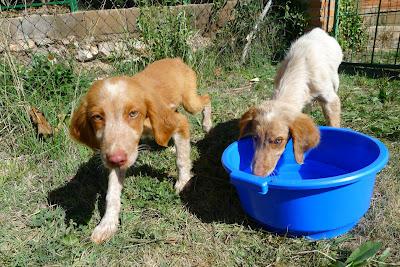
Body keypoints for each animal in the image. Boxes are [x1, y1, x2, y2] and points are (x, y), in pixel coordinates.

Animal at [70, 57, 212, 244]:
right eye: (97, 117)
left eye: (133, 113)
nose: (115, 159)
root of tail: (175, 59)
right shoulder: (117, 152)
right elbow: (112, 193)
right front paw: (107, 224)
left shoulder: (179, 122)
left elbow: (182, 160)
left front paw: (183, 182)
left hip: (190, 101)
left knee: (206, 98)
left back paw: (207, 125)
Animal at [239, 28, 342, 178]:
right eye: (255, 137)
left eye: (278, 140)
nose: (256, 174)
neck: (300, 67)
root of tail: (318, 30)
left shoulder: (331, 100)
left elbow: (334, 123)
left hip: (335, 79)